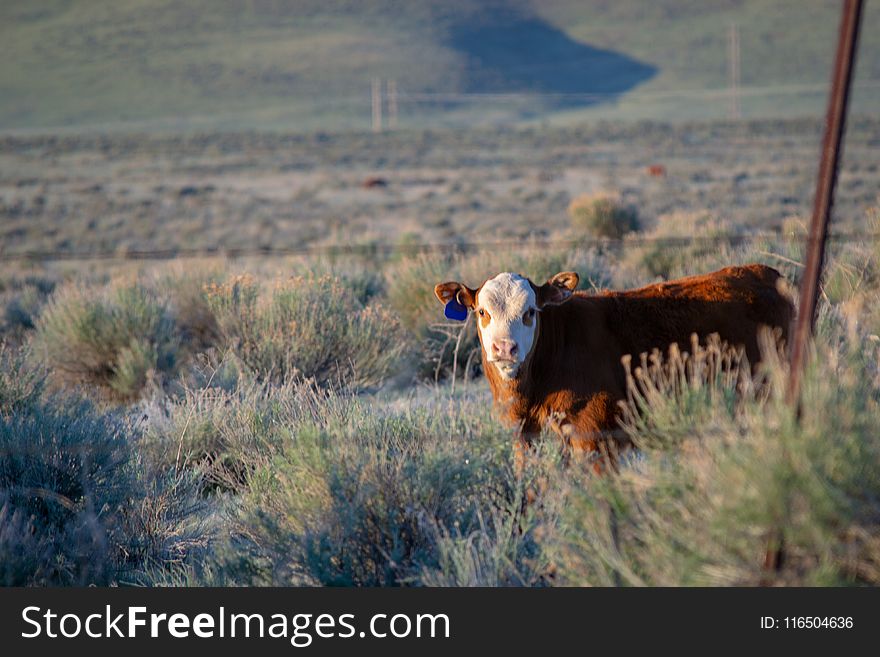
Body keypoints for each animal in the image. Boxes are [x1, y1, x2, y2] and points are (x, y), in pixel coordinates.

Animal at [436, 262, 796, 466]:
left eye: (530, 312)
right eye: (482, 312)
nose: (505, 348)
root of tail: (762, 272)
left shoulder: (595, 440)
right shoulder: (526, 437)